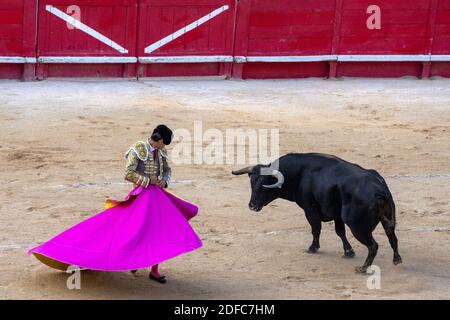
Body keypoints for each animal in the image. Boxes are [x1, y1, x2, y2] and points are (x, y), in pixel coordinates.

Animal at [232, 152, 400, 272]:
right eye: (252, 183)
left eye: (265, 184)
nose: (252, 206)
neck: (298, 173)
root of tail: (378, 189)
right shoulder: (337, 214)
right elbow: (340, 231)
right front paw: (348, 251)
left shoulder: (310, 210)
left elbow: (315, 229)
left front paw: (312, 248)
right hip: (385, 219)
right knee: (392, 238)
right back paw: (396, 260)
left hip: (356, 225)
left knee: (373, 245)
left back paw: (363, 268)